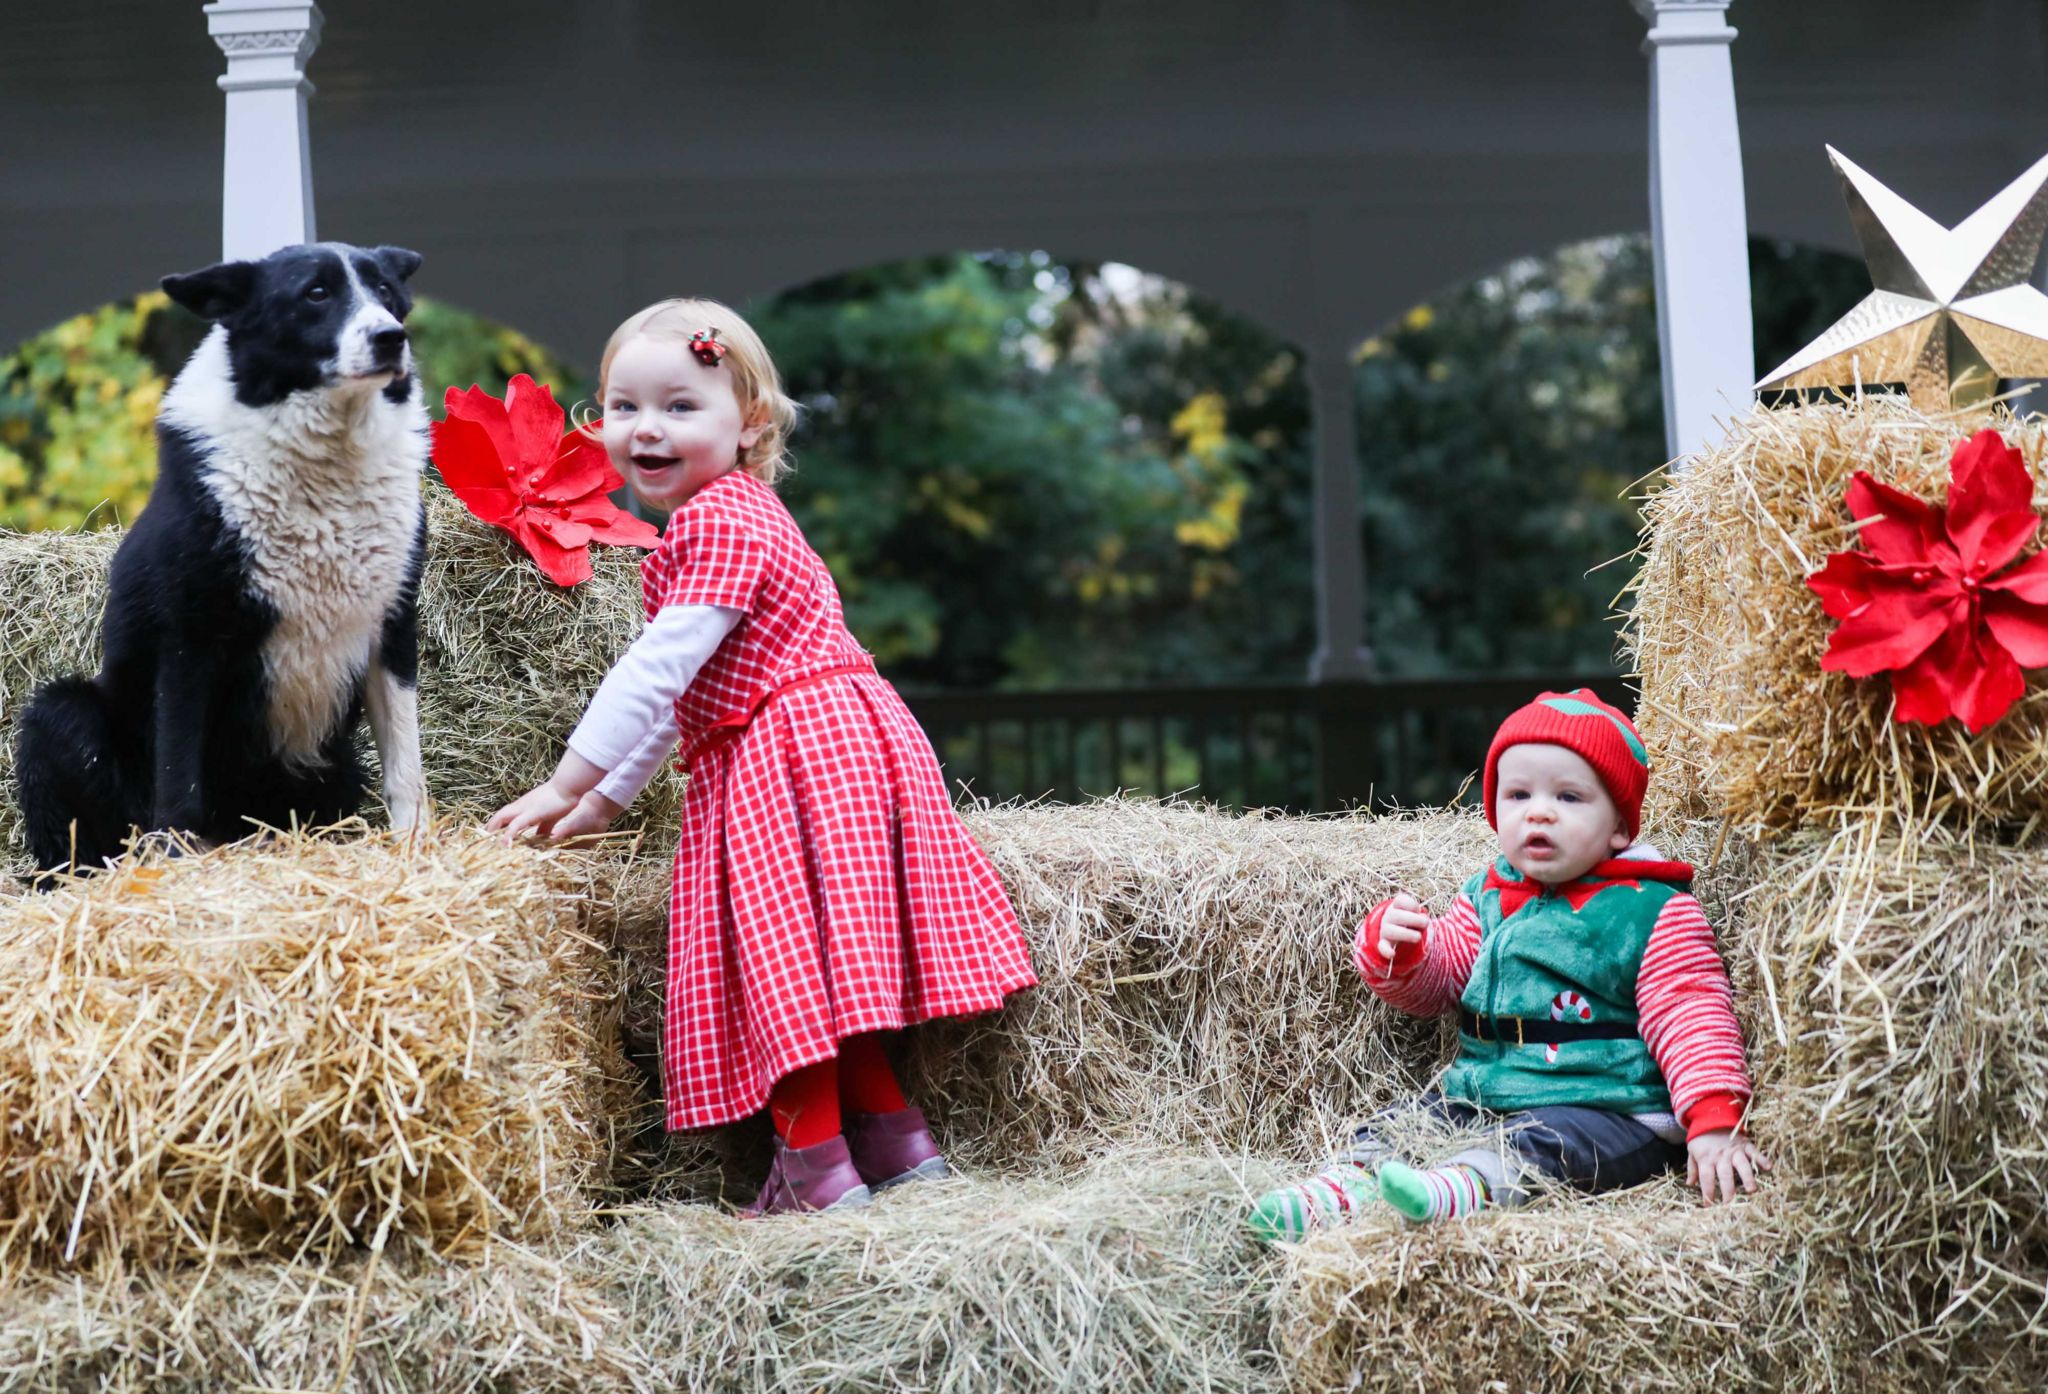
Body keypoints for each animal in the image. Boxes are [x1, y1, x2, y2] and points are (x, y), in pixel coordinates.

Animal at [12, 239, 432, 867]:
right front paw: (178, 860)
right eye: (316, 293)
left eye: (385, 291)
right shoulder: (192, 637)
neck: (327, 460)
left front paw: (416, 848)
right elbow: (179, 773)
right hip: (59, 714)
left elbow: (406, 764)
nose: (391, 338)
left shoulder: (393, 625)